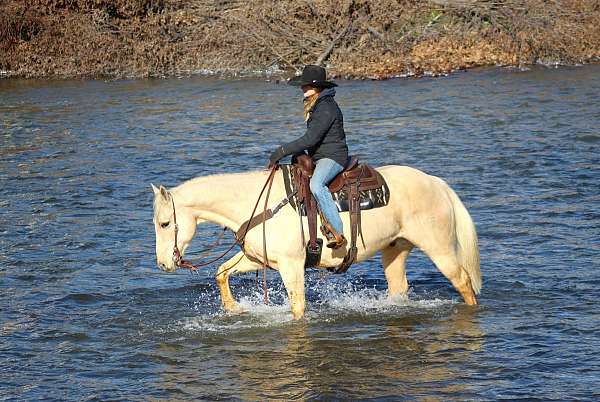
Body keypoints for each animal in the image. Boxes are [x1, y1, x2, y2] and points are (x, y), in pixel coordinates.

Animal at [152, 165, 480, 318]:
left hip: (439, 247)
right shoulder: (258, 259)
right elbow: (222, 272)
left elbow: (297, 306)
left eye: (165, 223)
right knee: (399, 289)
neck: (258, 205)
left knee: (463, 282)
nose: (164, 264)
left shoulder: (291, 265)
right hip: (395, 251)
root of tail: (435, 182)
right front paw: (235, 309)